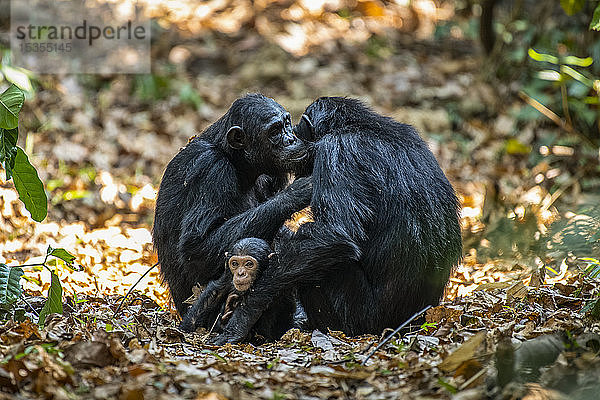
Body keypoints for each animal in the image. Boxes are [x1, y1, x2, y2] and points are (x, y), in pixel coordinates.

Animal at [152, 94, 312, 316]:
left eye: (287, 123)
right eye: (274, 131)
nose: (291, 139)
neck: (237, 161)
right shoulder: (211, 170)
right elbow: (196, 248)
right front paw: (296, 193)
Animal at [209, 95, 462, 342]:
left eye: (293, 128)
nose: (292, 140)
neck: (358, 126)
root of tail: (410, 325)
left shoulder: (337, 152)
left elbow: (334, 233)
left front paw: (245, 314)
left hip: (358, 320)